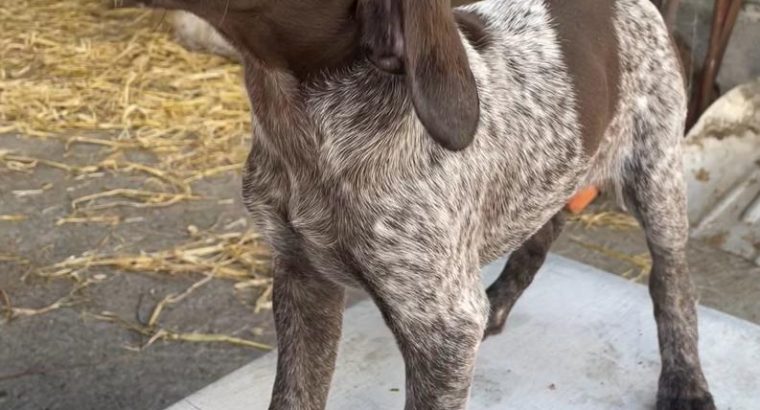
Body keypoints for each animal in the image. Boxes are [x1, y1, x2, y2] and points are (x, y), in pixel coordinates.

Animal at [121, 1, 716, 408]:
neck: (305, 126)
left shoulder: (442, 327)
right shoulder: (302, 277)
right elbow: (295, 394)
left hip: (656, 173)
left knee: (671, 281)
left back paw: (685, 382)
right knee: (542, 232)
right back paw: (501, 302)